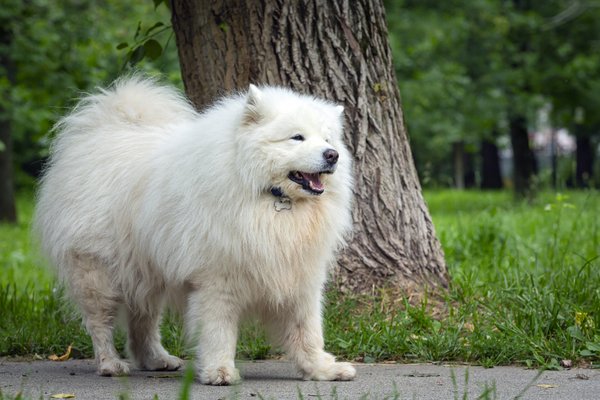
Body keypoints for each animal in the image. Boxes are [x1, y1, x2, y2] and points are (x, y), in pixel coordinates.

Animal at [34, 76, 356, 384]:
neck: (274, 199)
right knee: (100, 323)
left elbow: (308, 332)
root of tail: (102, 131)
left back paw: (156, 360)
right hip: (97, 273)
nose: (332, 155)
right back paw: (111, 364)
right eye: (297, 137)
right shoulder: (217, 281)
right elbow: (218, 331)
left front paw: (322, 369)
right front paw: (220, 372)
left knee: (143, 322)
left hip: (147, 271)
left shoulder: (299, 277)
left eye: (327, 139)